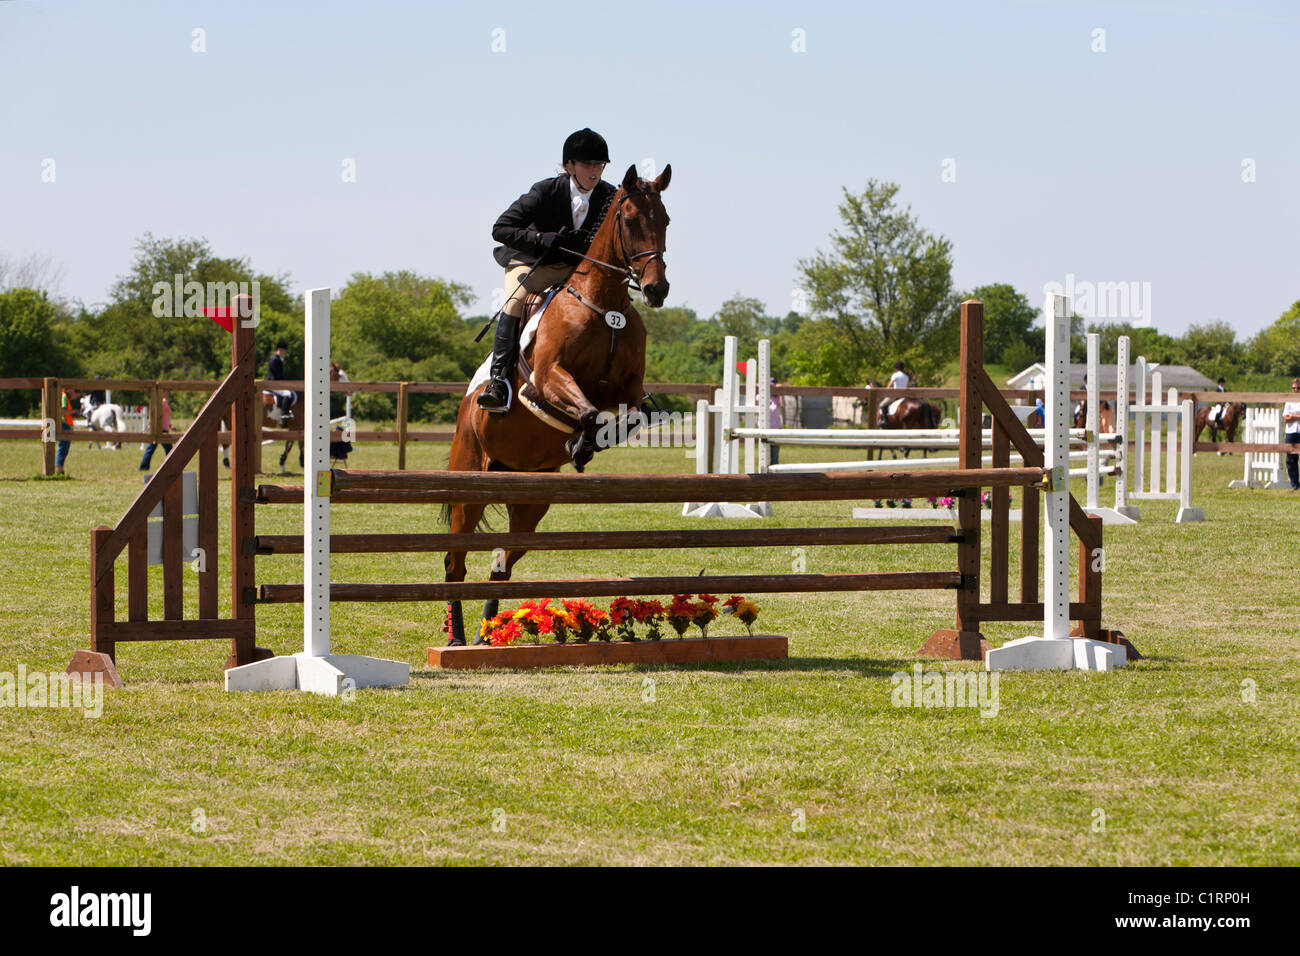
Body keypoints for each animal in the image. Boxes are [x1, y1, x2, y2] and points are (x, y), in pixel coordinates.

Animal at [441, 162, 671, 645]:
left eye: (665, 220)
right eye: (629, 221)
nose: (657, 289)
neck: (603, 303)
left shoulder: (628, 391)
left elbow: (626, 417)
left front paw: (585, 446)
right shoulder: (548, 379)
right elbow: (585, 410)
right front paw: (580, 444)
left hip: (530, 500)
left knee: (501, 563)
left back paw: (487, 633)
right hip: (468, 483)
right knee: (455, 562)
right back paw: (456, 636)